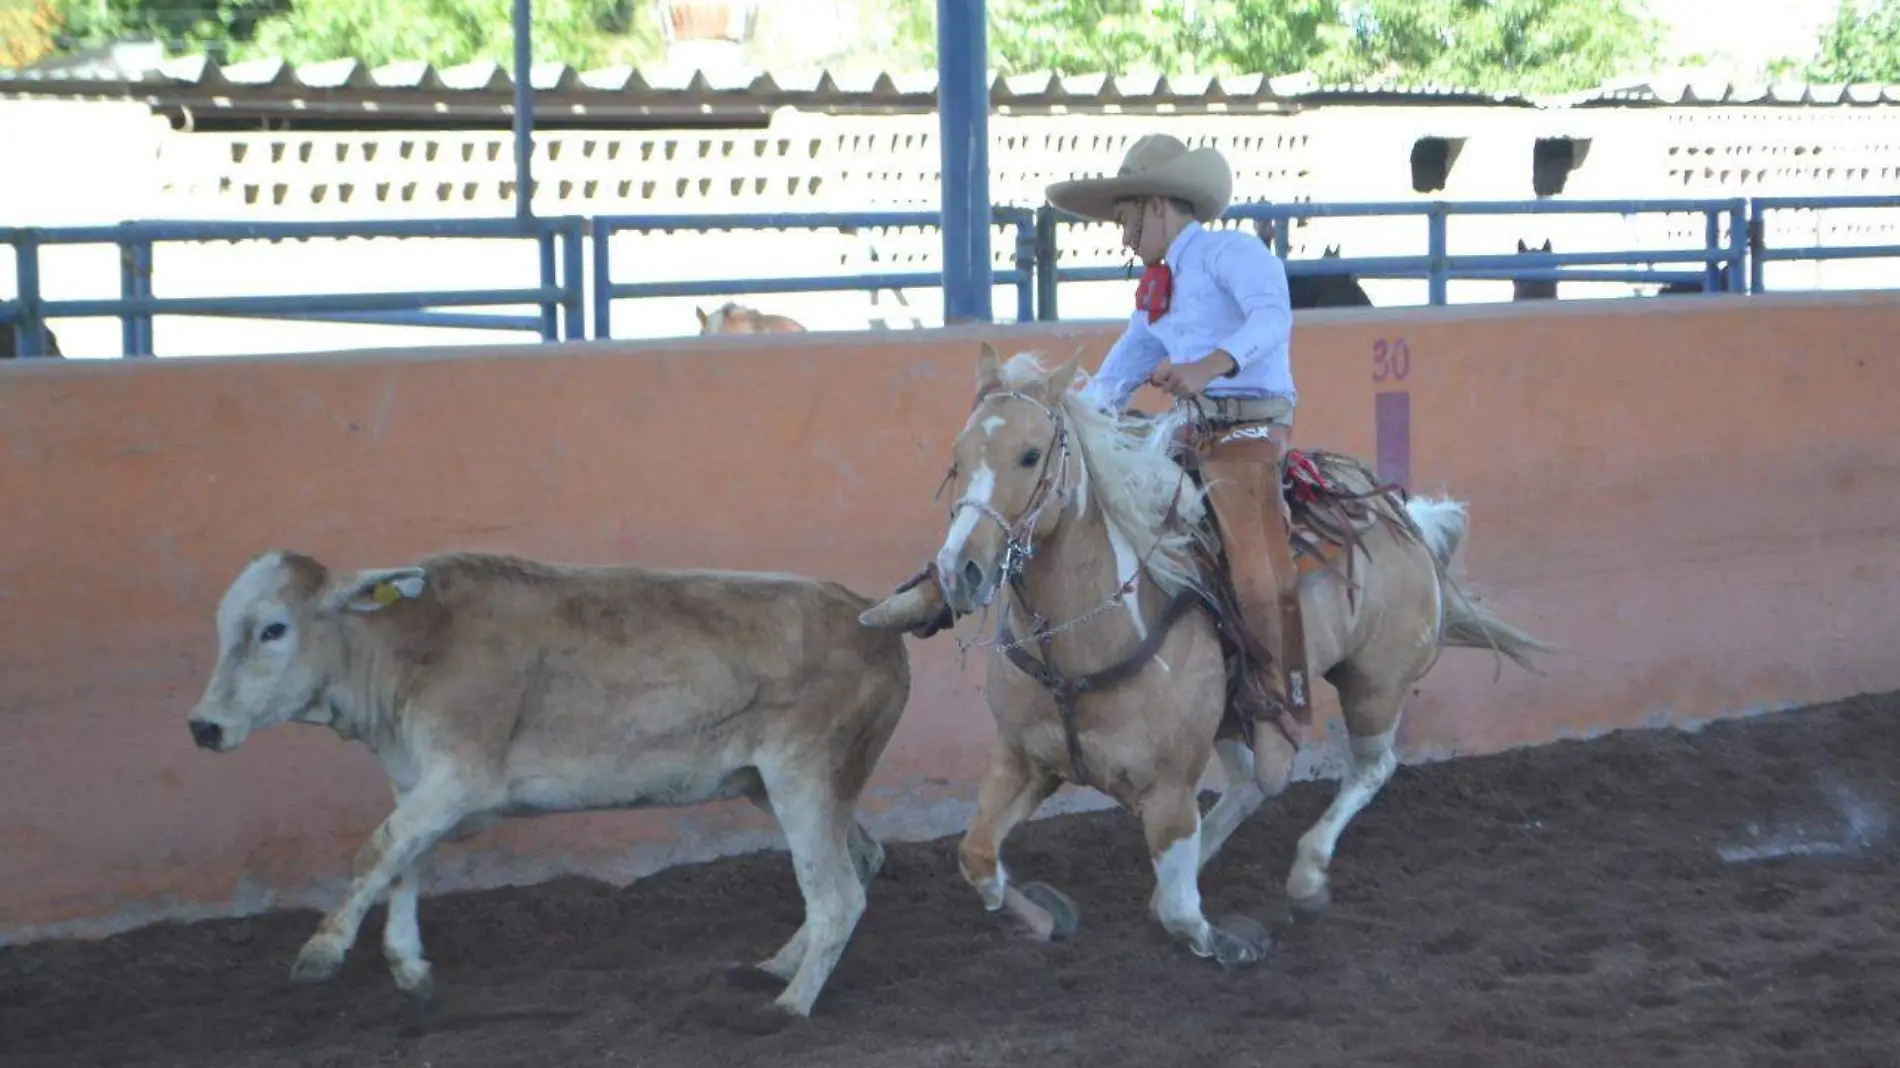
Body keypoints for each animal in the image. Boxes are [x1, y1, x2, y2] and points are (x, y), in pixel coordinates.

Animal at [870, 345, 1550, 969]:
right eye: (957, 457)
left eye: (1031, 454)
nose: (959, 571)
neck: (1085, 638)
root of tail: (1401, 514)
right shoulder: (1021, 760)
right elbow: (977, 859)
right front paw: (1046, 917)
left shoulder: (1170, 786)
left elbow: (1180, 912)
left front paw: (1227, 939)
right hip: (1235, 712)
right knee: (1254, 781)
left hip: (1374, 682)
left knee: (1369, 768)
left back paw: (1307, 873)